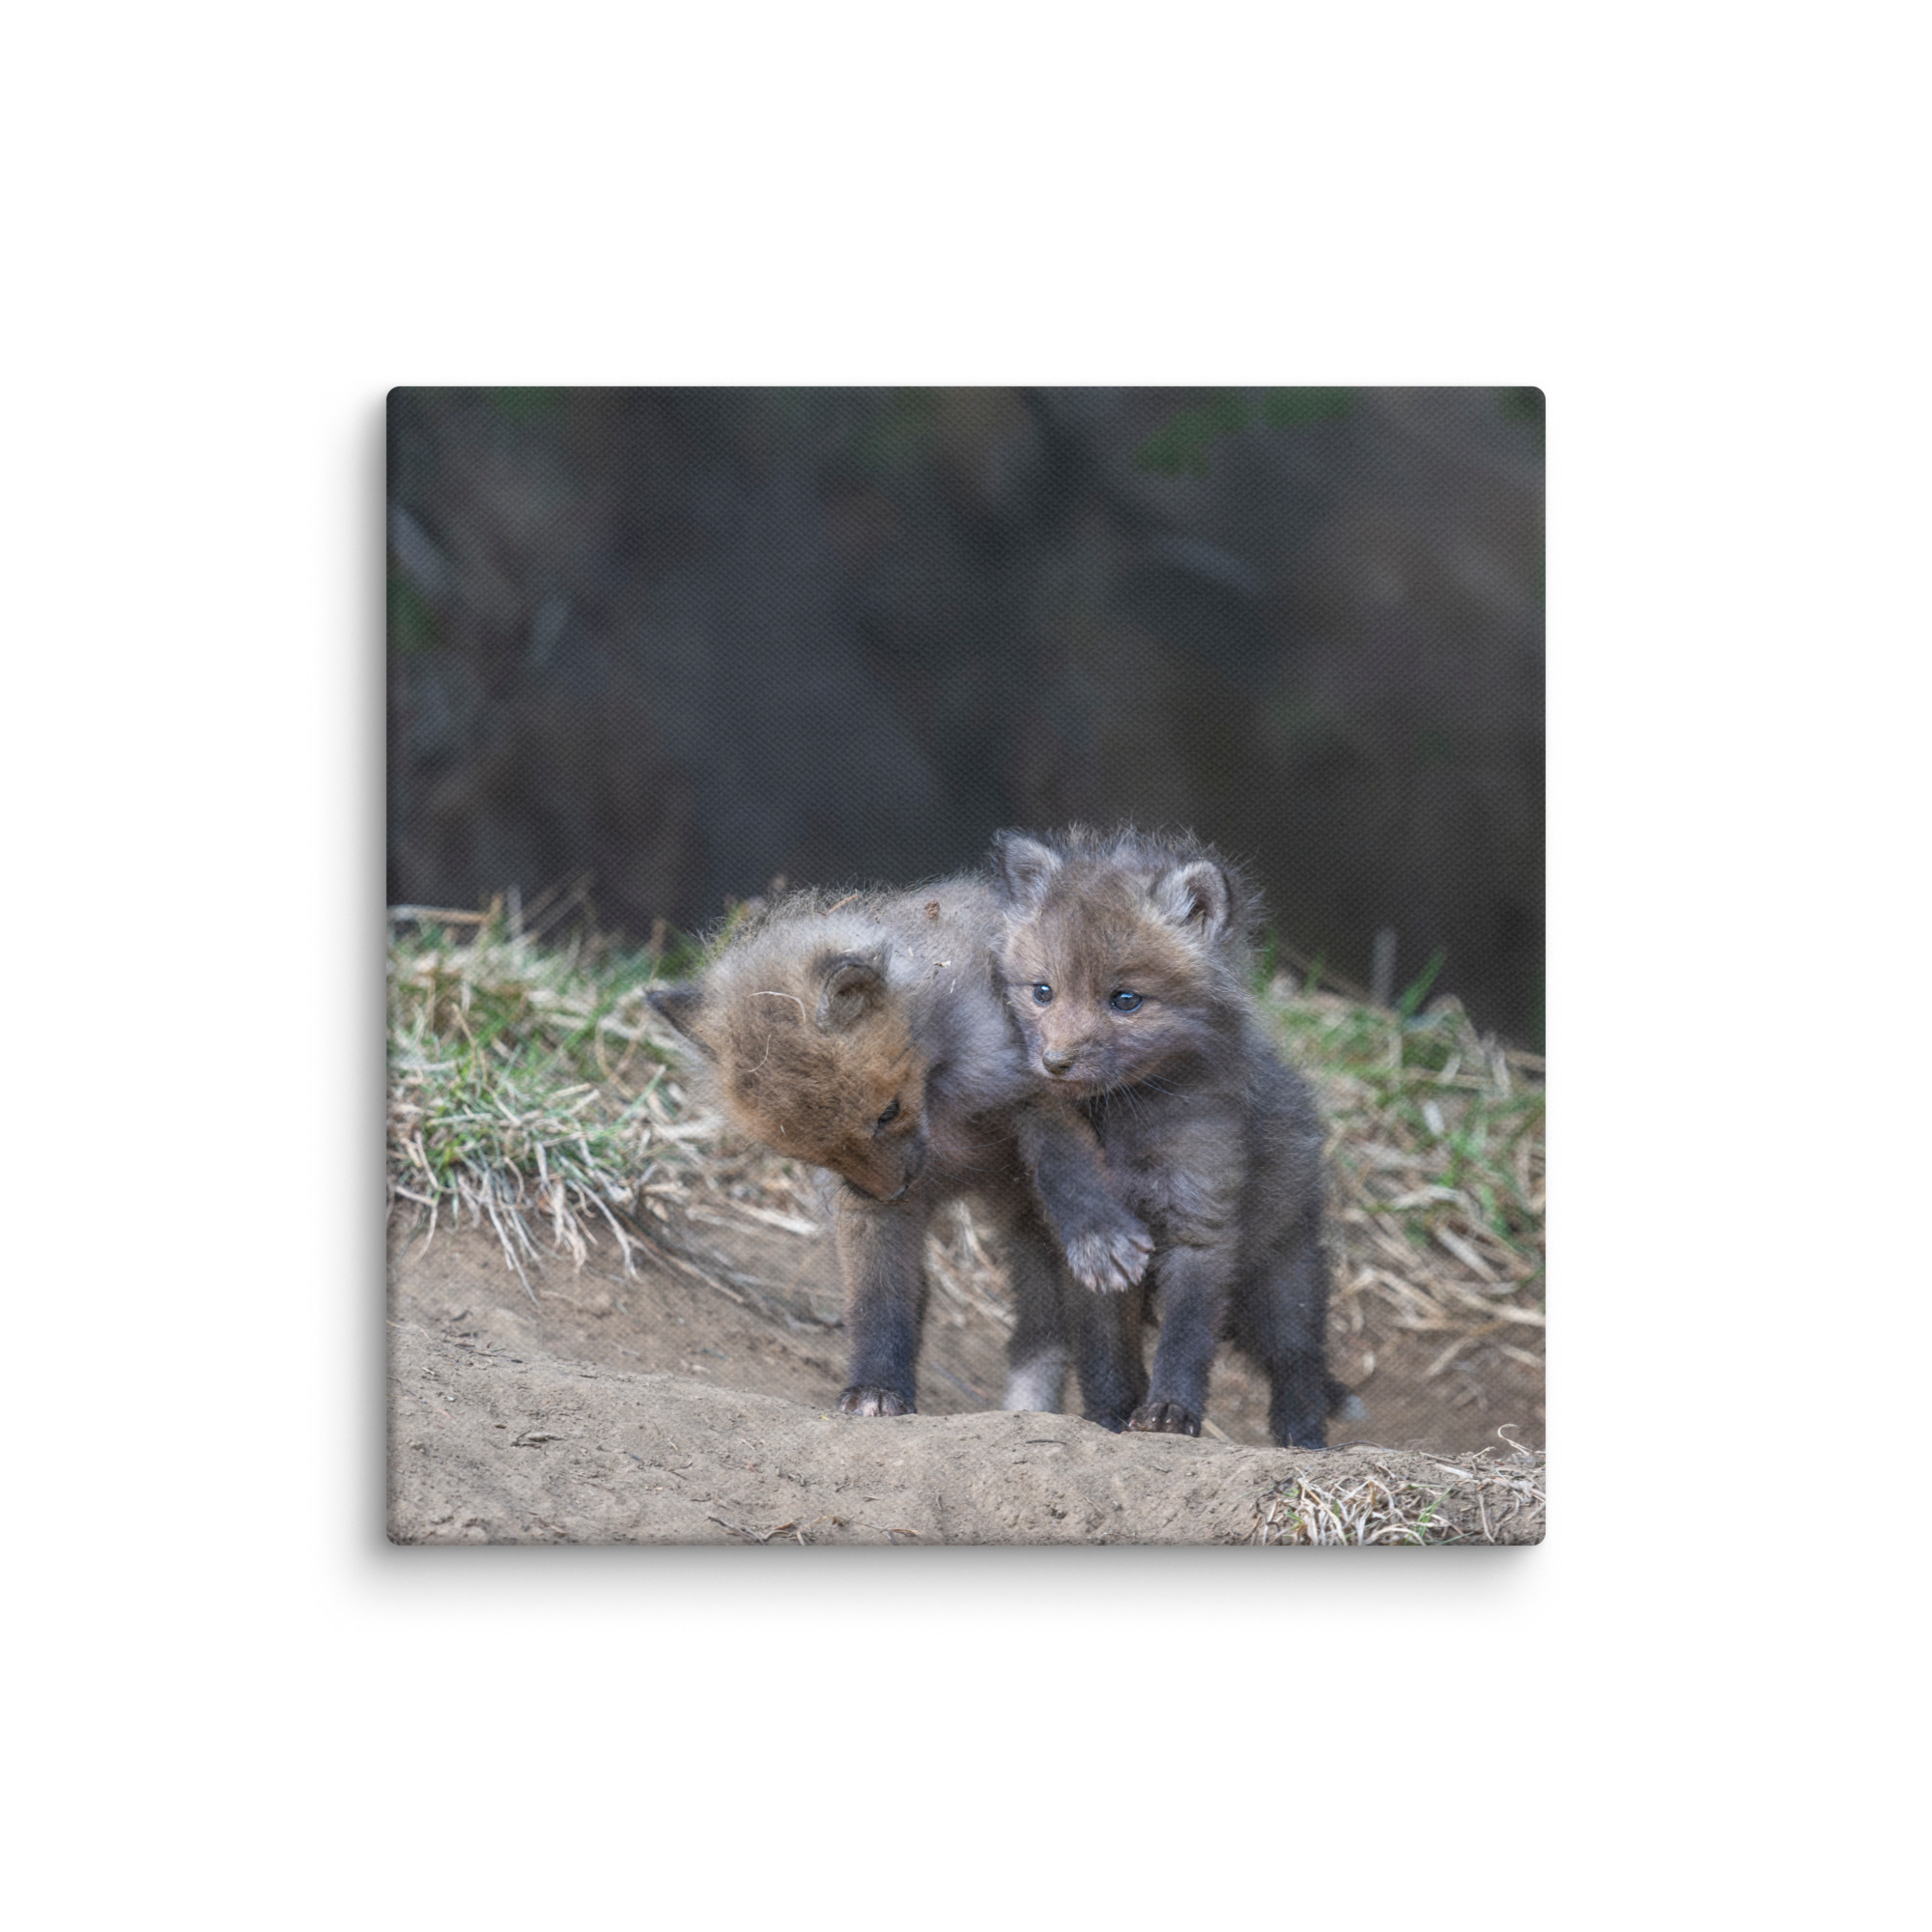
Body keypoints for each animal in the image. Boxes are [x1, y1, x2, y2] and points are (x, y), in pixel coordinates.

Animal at [646, 877, 1155, 1421]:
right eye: (813, 1153)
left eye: (887, 1113)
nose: (893, 1192)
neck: (942, 1104)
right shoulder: (862, 1206)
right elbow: (878, 1300)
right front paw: (876, 1387)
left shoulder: (1036, 1088)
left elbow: (1068, 1168)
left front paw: (1098, 1234)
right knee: (1035, 1331)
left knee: (1096, 1333)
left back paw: (1113, 1414)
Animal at [989, 825, 1352, 1449]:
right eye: (1043, 992)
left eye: (1125, 1000)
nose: (1054, 1063)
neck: (1124, 1123)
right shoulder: (1095, 1256)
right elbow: (1105, 1352)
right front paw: (1109, 1417)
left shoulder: (1200, 1224)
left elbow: (1185, 1339)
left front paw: (1169, 1413)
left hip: (1282, 1280)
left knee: (1299, 1362)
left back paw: (1303, 1441)